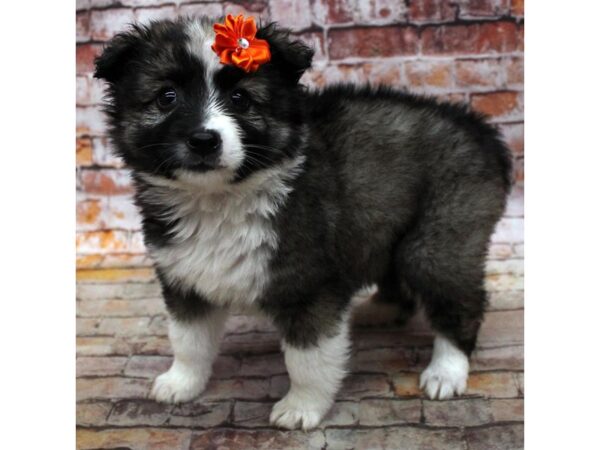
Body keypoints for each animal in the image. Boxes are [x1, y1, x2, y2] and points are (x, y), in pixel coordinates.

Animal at [94, 17, 510, 430]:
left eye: (240, 99)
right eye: (167, 97)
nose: (203, 140)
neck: (218, 198)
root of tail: (482, 131)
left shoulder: (309, 286)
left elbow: (307, 359)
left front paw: (302, 406)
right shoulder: (184, 278)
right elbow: (188, 340)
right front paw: (182, 382)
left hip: (441, 239)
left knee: (460, 302)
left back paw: (446, 370)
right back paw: (380, 311)